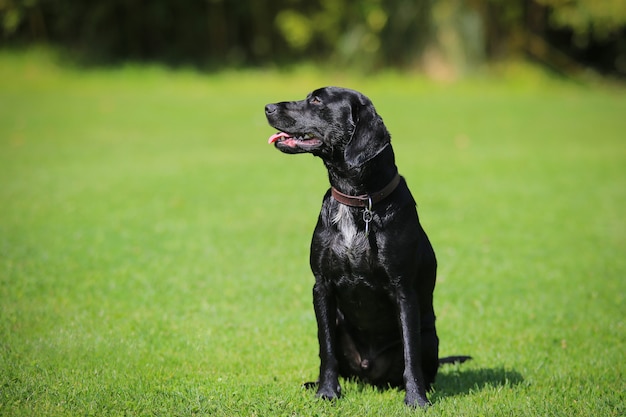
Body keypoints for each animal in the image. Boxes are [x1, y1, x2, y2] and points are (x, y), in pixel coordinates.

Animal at [262, 86, 464, 404]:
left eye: (316, 100)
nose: (267, 107)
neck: (358, 200)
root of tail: (369, 373)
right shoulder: (321, 286)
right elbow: (327, 350)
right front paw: (326, 392)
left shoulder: (404, 290)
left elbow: (410, 354)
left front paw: (416, 400)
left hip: (430, 336)